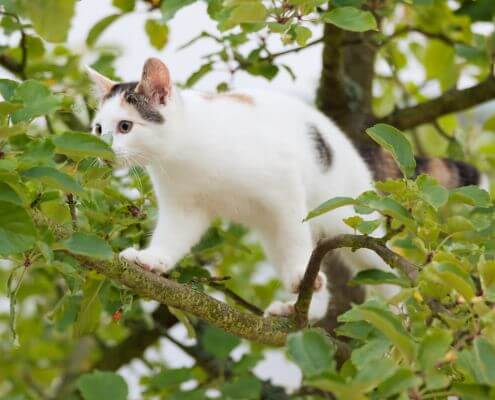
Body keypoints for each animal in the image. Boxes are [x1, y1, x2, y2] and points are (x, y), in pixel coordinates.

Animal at [88, 57, 488, 322]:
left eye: (125, 126)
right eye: (97, 129)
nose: (102, 149)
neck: (181, 154)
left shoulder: (284, 190)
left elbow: (298, 241)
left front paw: (299, 274)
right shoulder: (183, 206)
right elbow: (172, 238)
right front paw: (152, 260)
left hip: (348, 220)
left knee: (379, 264)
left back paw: (400, 311)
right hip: (271, 231)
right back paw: (300, 310)